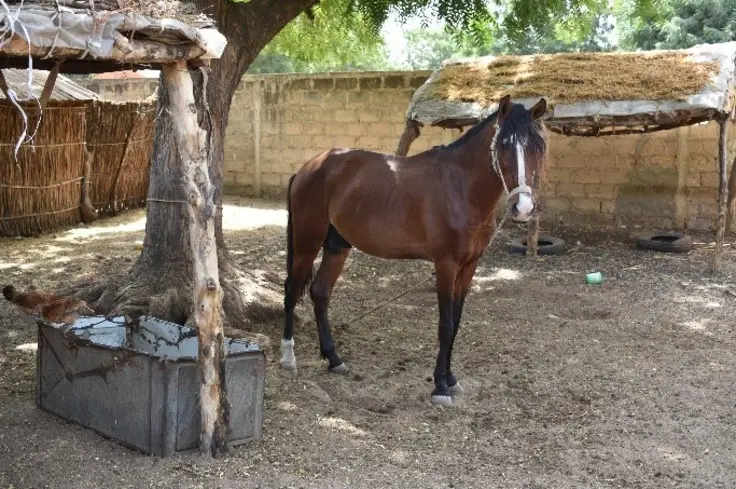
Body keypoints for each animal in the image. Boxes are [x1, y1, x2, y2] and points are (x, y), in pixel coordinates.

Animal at [280, 94, 549, 406]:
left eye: (537, 147)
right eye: (504, 145)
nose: (523, 208)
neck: (460, 187)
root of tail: (309, 167)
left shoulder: (469, 266)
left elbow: (456, 323)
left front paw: (451, 379)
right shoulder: (445, 265)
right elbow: (445, 325)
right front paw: (440, 387)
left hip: (337, 246)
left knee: (320, 292)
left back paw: (335, 360)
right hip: (307, 243)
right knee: (291, 291)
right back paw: (288, 358)